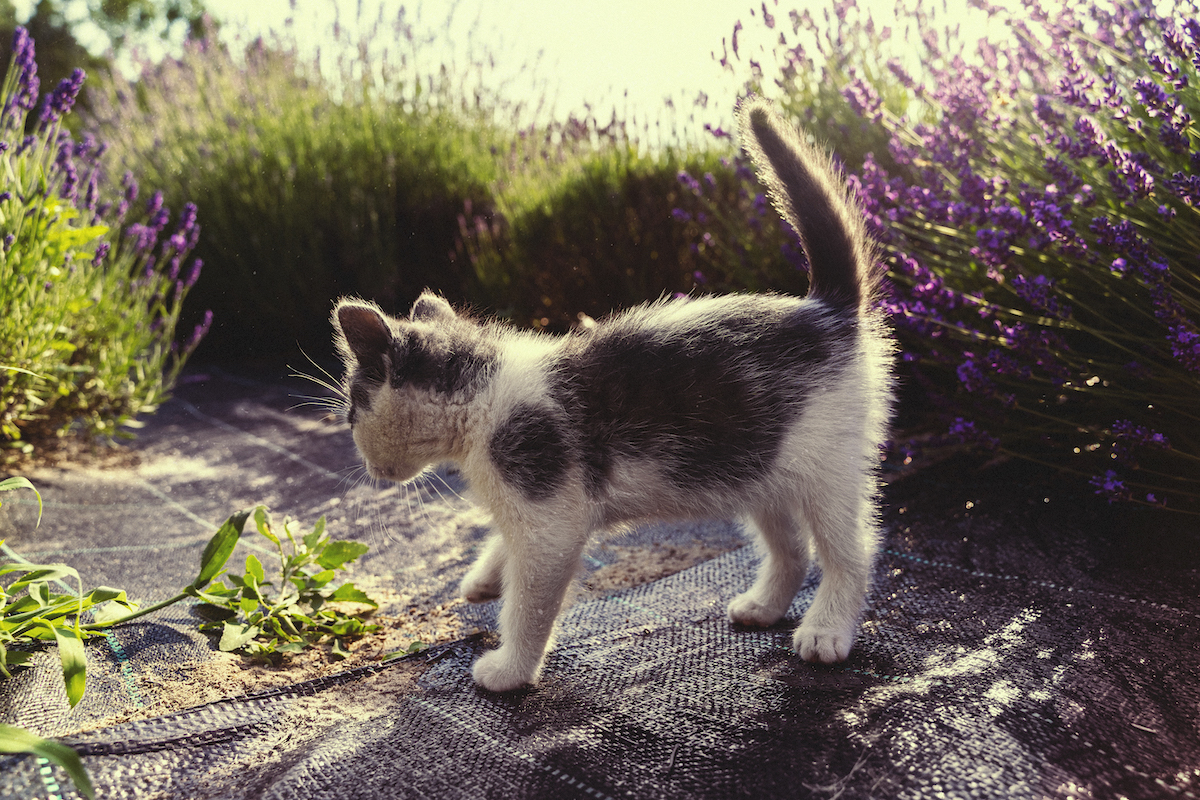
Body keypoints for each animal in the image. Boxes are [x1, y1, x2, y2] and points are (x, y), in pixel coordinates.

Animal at [333, 100, 897, 690]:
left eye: (351, 410)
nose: (365, 463)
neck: (485, 397)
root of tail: (825, 309)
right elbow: (504, 546)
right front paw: (485, 574)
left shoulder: (551, 519)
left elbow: (529, 602)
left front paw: (510, 669)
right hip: (760, 465)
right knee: (792, 547)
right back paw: (763, 606)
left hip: (827, 466)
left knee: (852, 549)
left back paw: (827, 630)